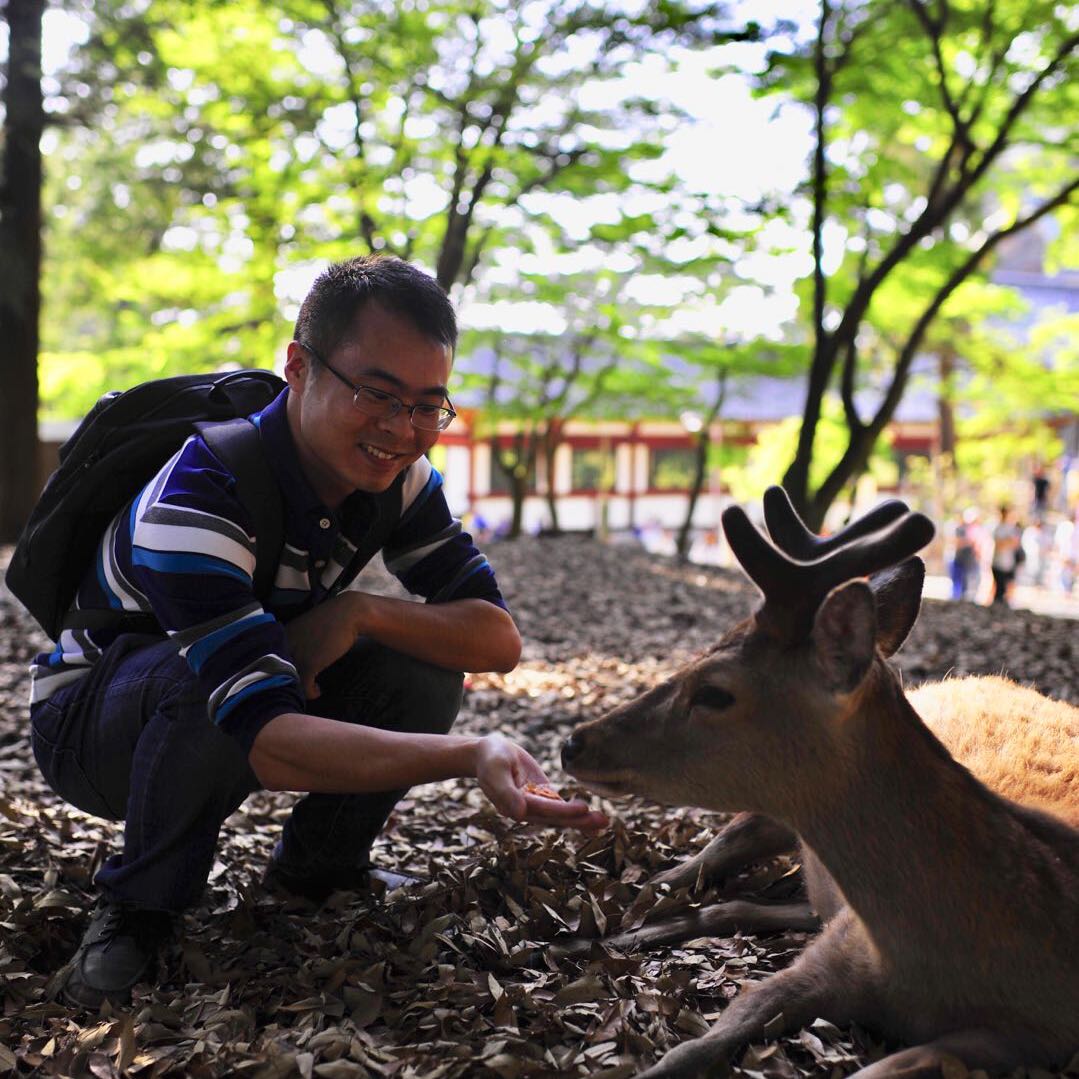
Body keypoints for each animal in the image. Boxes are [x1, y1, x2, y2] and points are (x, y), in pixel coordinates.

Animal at [561, 492, 1074, 1079]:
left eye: (714, 692)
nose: (573, 742)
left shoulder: (1040, 1036)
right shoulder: (834, 954)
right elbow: (702, 1039)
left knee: (742, 905)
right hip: (769, 819)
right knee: (689, 870)